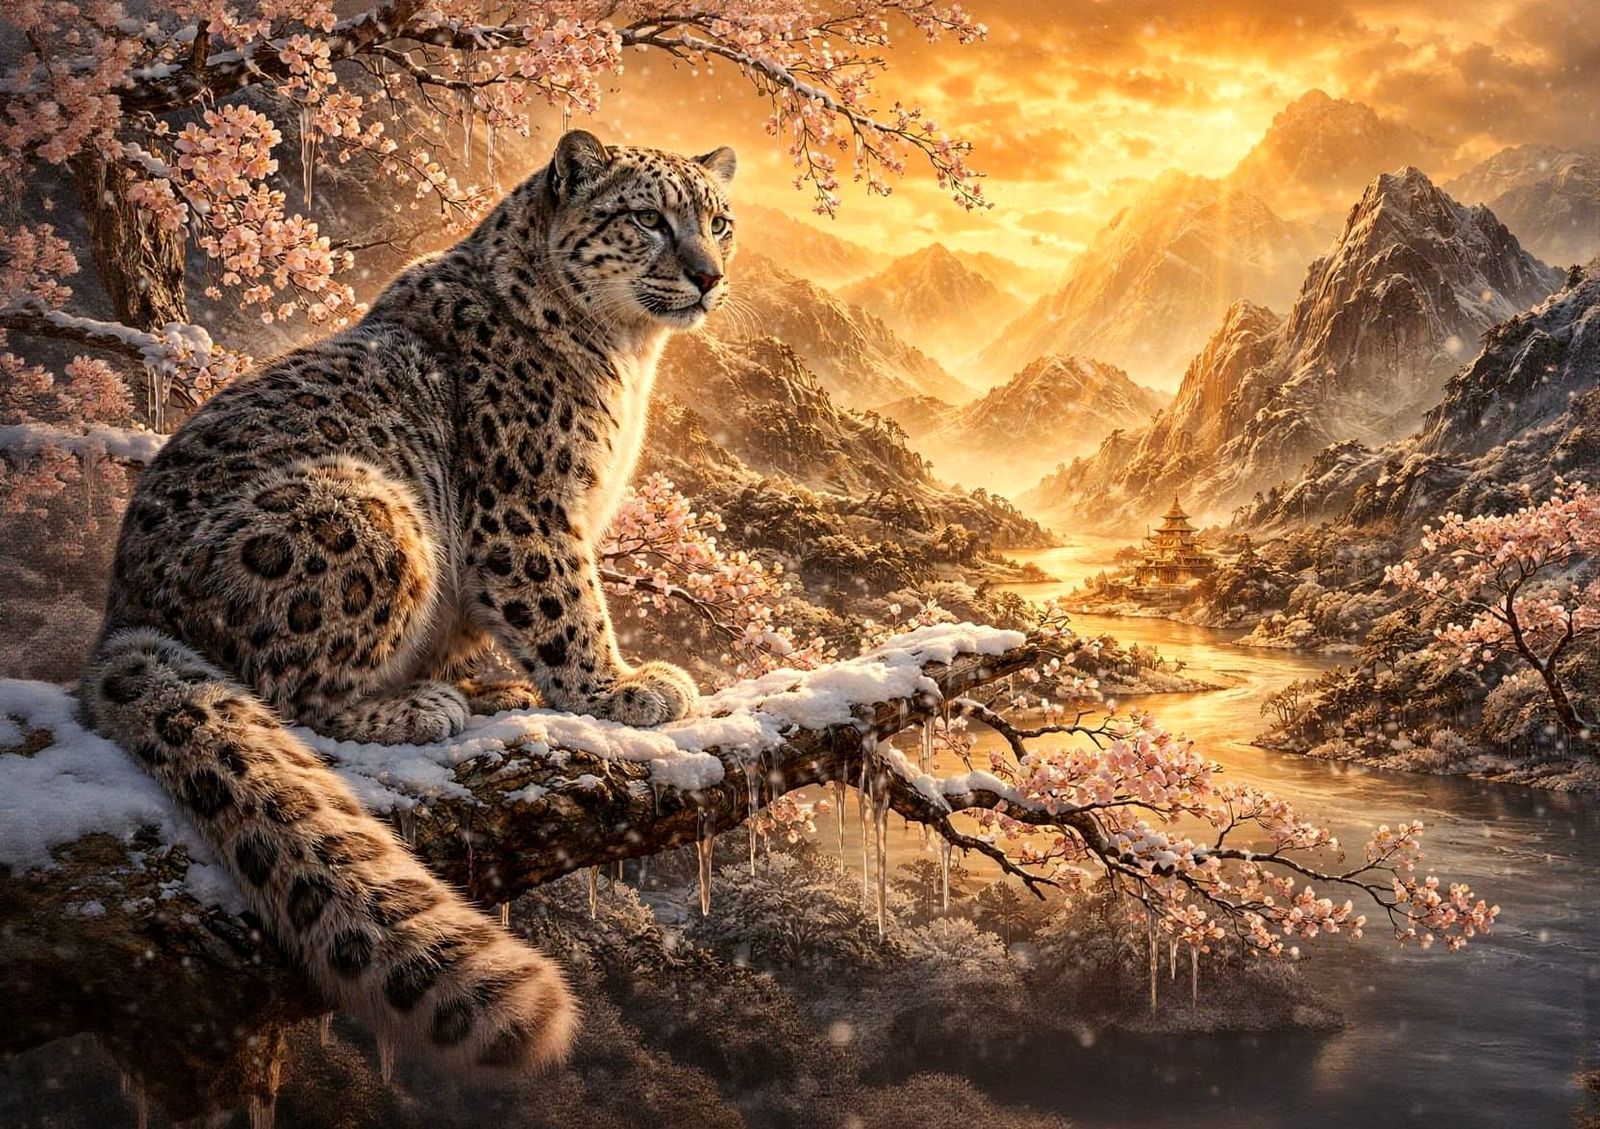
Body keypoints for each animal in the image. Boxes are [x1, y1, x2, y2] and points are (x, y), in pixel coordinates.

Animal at [78, 130, 738, 1071]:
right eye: (649, 218)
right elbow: (565, 605)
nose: (709, 275)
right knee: (288, 692)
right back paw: (422, 706)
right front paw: (621, 688)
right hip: (368, 511)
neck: (630, 356)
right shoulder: (525, 509)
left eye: (719, 221)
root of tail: (122, 613)